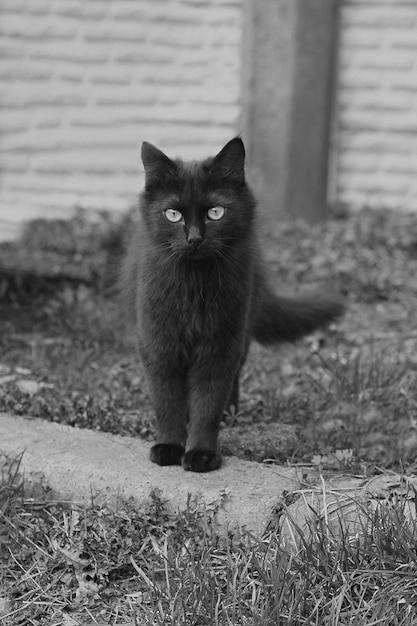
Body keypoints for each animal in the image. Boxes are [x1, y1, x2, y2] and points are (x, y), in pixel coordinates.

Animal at [122, 136, 342, 468]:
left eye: (216, 212)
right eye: (173, 215)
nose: (195, 239)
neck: (195, 286)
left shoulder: (221, 344)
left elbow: (209, 402)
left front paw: (201, 453)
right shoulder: (158, 344)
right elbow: (167, 401)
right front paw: (169, 447)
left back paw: (230, 415)